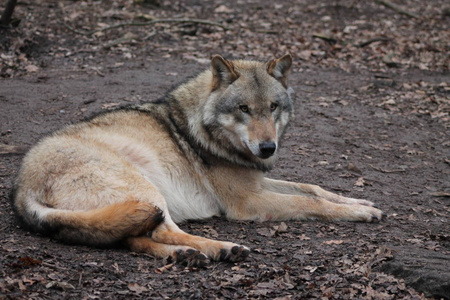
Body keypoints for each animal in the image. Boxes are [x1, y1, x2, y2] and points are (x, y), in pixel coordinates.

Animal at [11, 55, 384, 266]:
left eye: (273, 107)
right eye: (243, 108)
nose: (267, 148)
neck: (201, 128)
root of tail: (21, 191)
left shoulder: (259, 180)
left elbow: (313, 187)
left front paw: (360, 201)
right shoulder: (247, 201)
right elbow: (310, 201)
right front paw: (360, 213)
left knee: (135, 238)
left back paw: (185, 257)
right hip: (147, 190)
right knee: (165, 231)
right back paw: (222, 249)